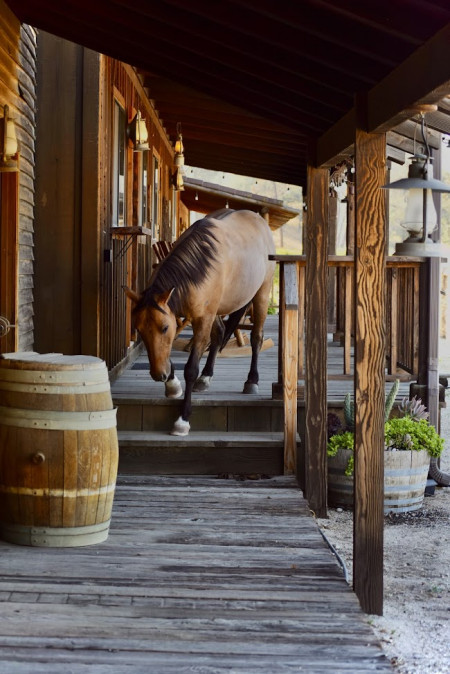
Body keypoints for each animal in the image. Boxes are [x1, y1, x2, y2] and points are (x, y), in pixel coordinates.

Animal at [125, 207, 276, 434]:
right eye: (139, 330)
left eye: (164, 328)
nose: (158, 375)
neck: (198, 264)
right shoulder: (184, 315)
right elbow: (168, 352)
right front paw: (172, 384)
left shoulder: (201, 319)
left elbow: (190, 369)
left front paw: (183, 419)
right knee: (220, 333)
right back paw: (206, 377)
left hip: (261, 295)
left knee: (256, 337)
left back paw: (251, 381)